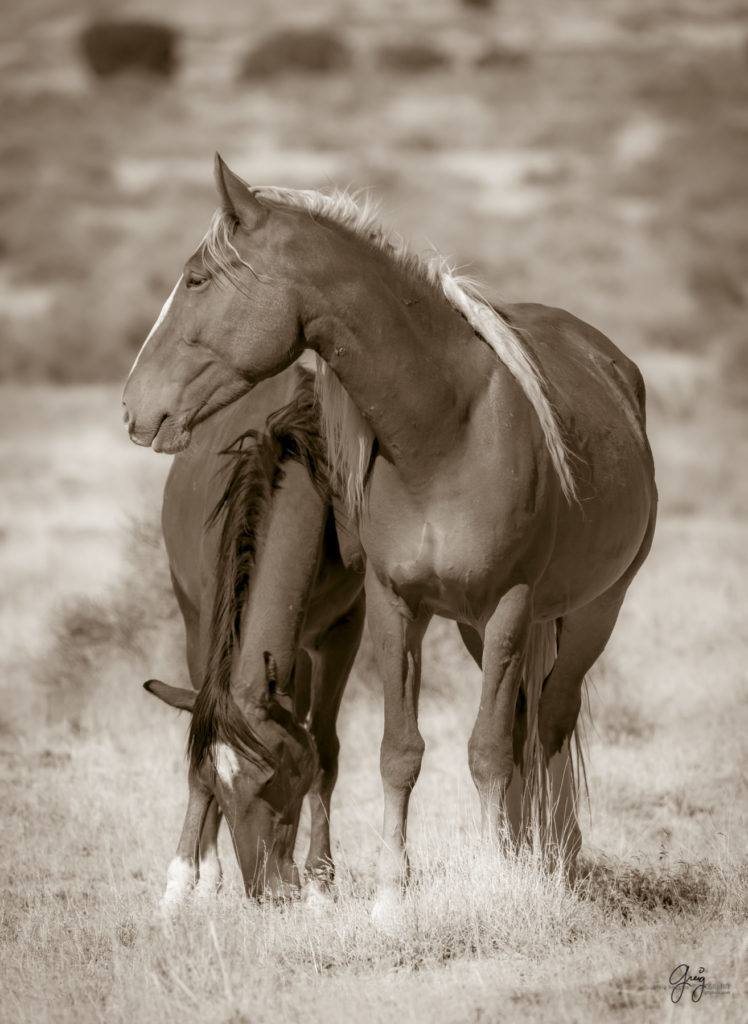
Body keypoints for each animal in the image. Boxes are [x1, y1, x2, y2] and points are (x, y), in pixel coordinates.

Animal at [143, 364, 364, 909]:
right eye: (224, 792)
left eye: (271, 777)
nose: (267, 890)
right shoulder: (207, 629)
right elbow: (199, 755)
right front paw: (185, 879)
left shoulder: (343, 629)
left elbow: (324, 748)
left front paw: (321, 880)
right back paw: (198, 879)